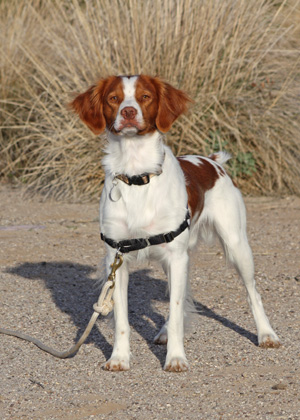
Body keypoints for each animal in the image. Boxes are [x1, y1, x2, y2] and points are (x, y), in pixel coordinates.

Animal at [71, 74, 282, 370]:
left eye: (145, 96)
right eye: (113, 98)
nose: (128, 112)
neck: (137, 175)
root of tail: (211, 161)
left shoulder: (176, 256)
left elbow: (177, 306)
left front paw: (176, 358)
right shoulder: (117, 258)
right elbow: (122, 319)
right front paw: (119, 358)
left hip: (236, 245)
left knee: (253, 293)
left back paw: (266, 334)